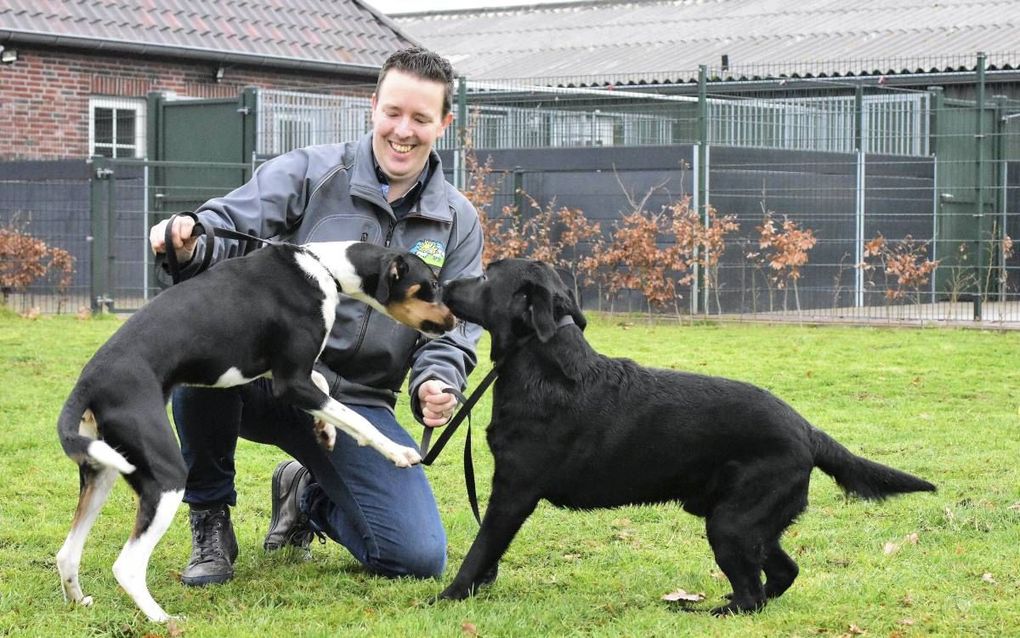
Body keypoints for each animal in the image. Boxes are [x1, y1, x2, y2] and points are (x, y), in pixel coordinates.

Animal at [56, 239, 454, 620]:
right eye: (432, 285)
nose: (452, 322)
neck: (322, 267)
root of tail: (88, 384)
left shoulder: (292, 376)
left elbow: (327, 387)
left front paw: (326, 430)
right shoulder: (290, 383)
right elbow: (357, 417)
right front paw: (397, 452)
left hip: (101, 473)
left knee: (67, 553)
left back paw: (79, 601)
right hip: (165, 477)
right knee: (127, 566)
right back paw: (163, 619)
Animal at [438, 257, 934, 612]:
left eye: (485, 275)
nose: (442, 284)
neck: (540, 363)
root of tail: (807, 430)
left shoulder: (513, 492)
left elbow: (480, 549)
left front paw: (448, 597)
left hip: (731, 522)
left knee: (754, 594)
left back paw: (708, 610)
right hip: (744, 522)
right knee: (781, 574)